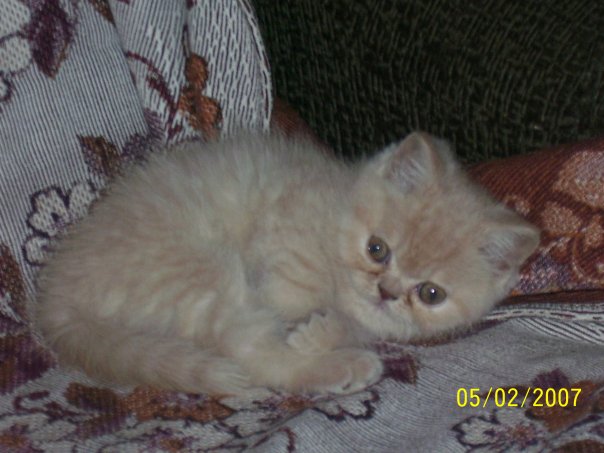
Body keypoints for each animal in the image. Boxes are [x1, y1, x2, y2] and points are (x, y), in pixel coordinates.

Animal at [34, 132, 540, 395]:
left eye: (430, 293)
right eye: (377, 249)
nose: (387, 292)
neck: (338, 203)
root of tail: (56, 299)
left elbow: (349, 320)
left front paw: (323, 330)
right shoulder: (285, 241)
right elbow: (288, 298)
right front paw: (305, 329)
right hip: (201, 270)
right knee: (250, 354)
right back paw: (348, 368)